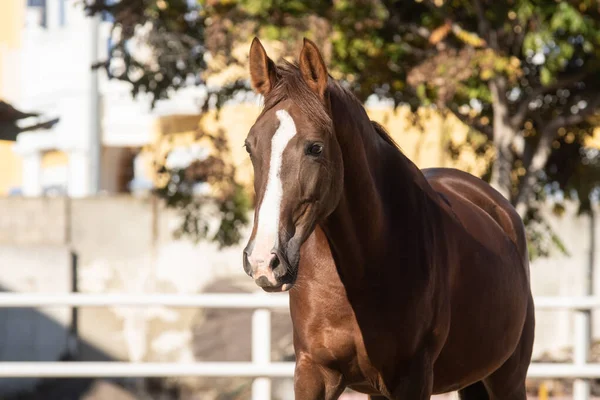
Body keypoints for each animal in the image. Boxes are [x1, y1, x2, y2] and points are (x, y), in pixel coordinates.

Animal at [243, 37, 536, 400]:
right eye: (250, 147)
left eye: (315, 147)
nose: (263, 261)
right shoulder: (315, 372)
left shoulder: (412, 377)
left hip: (507, 378)